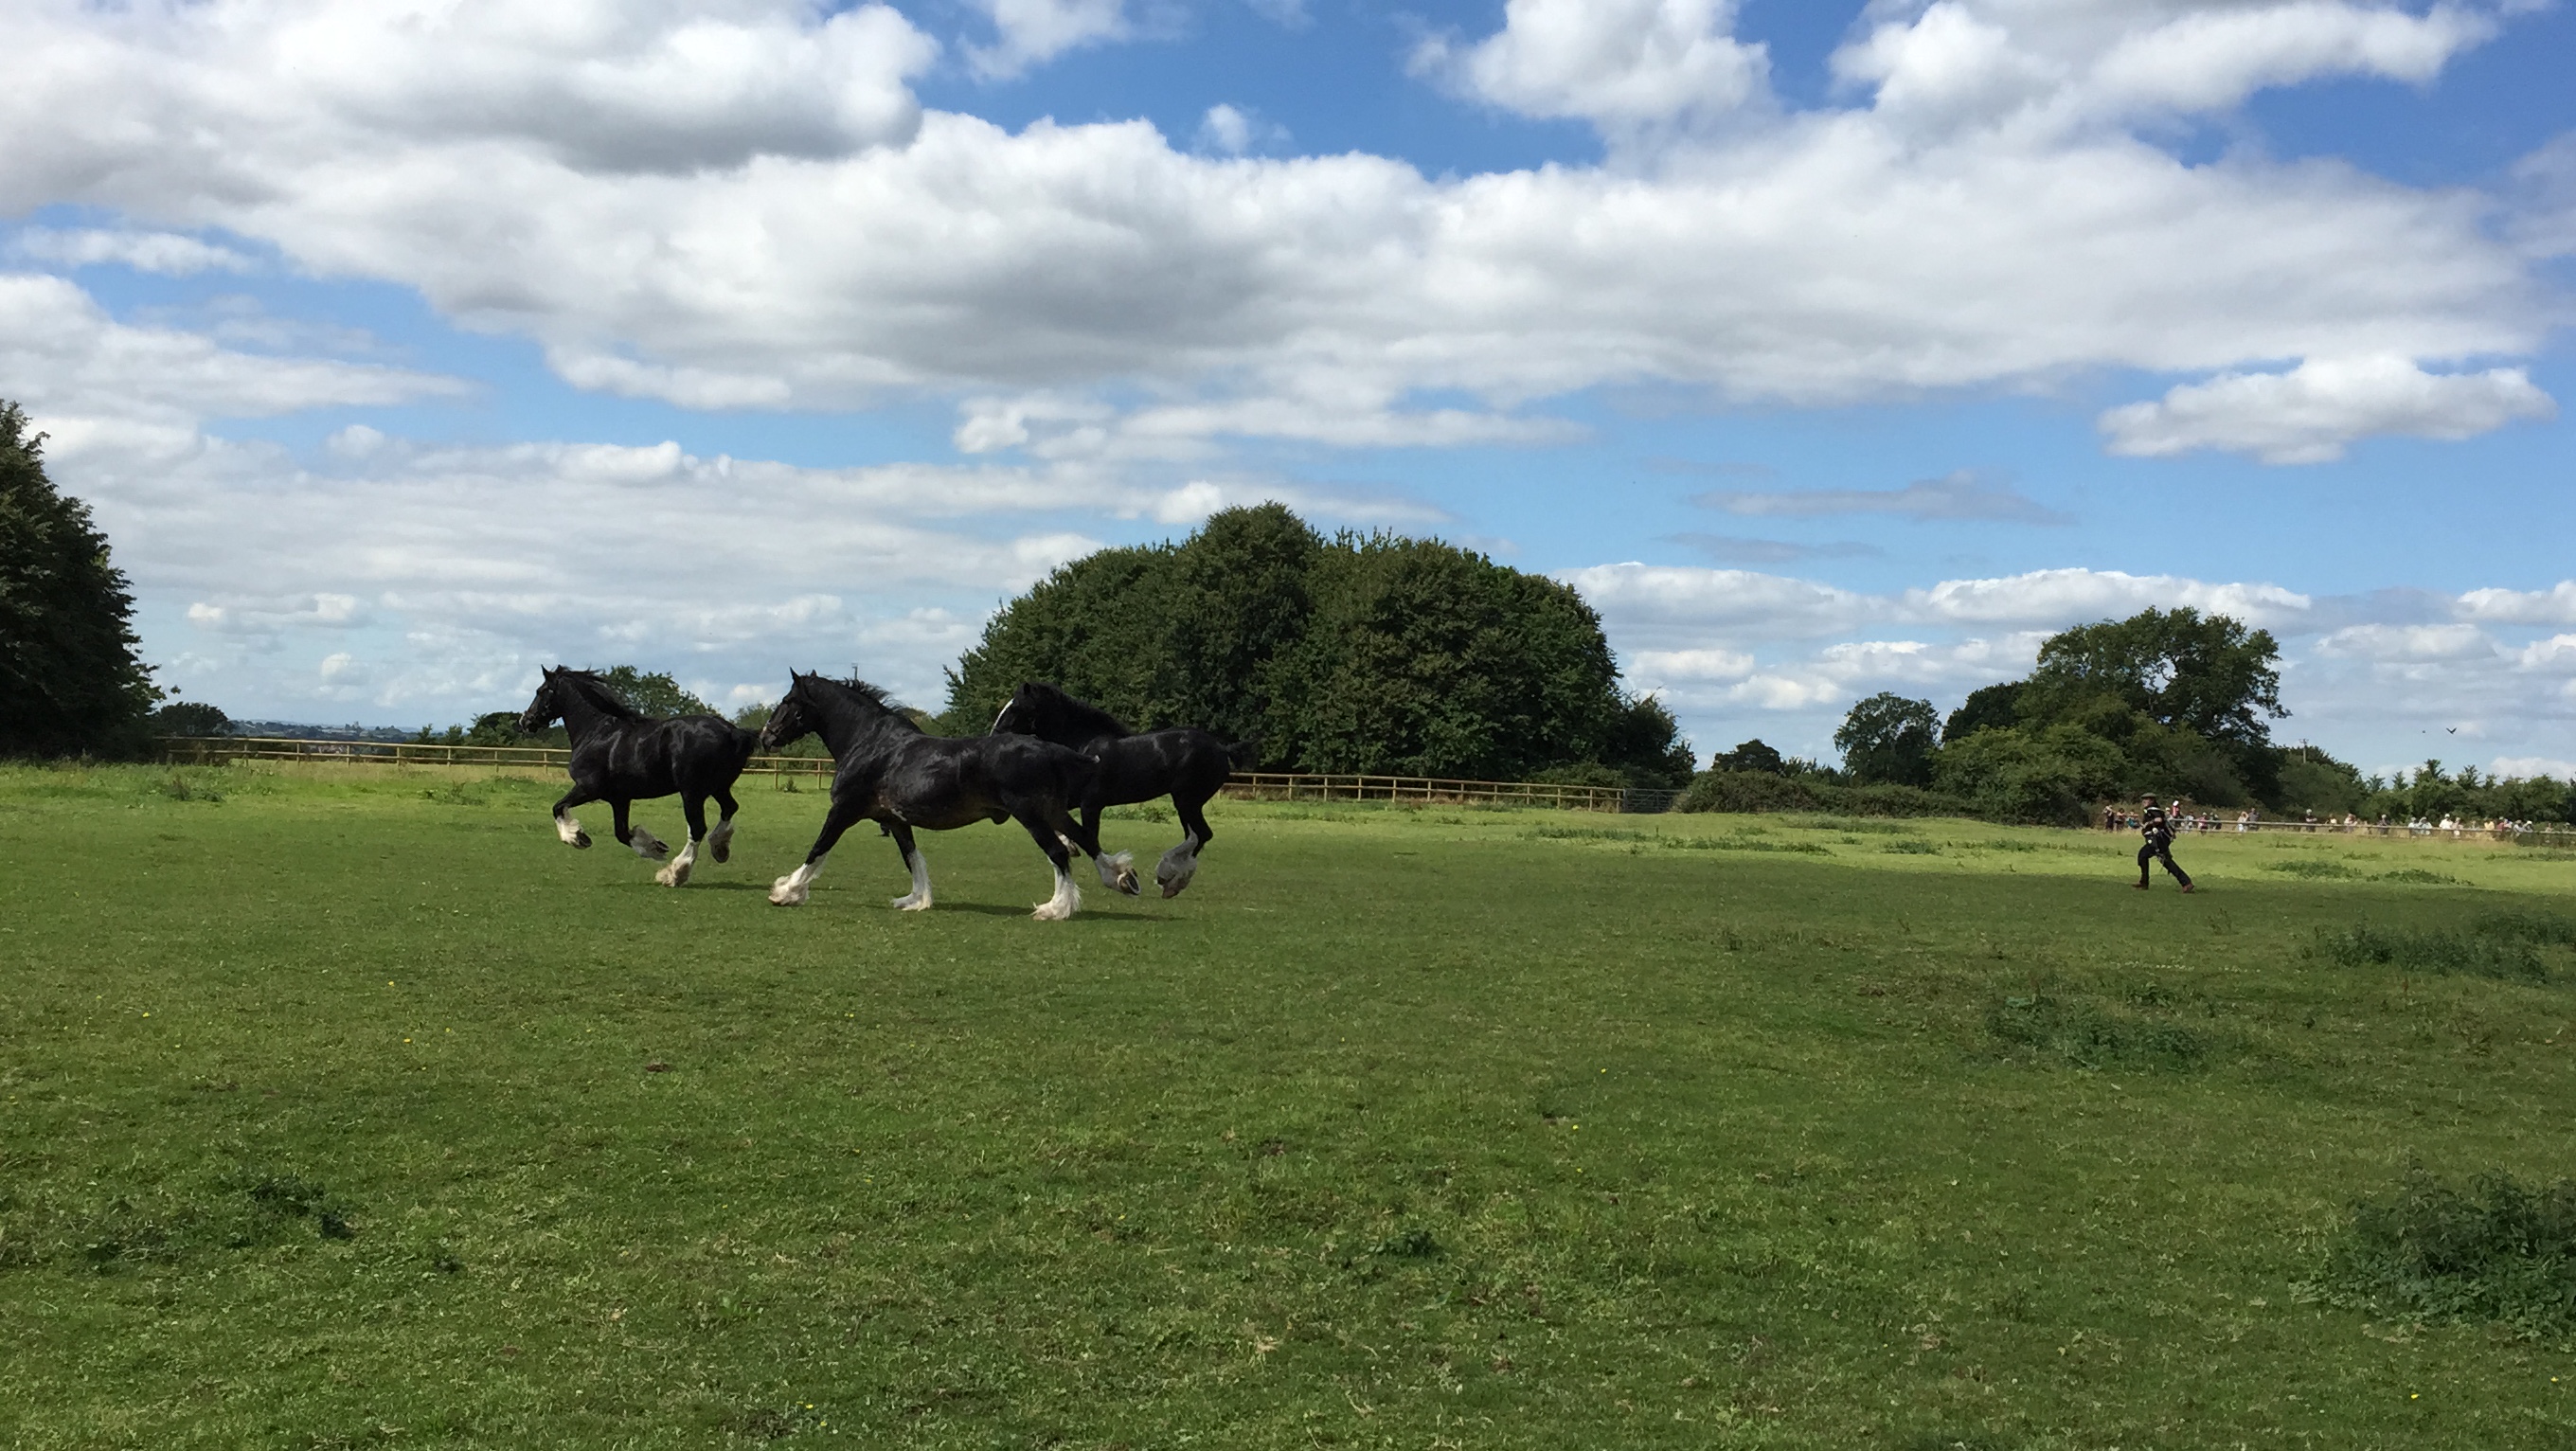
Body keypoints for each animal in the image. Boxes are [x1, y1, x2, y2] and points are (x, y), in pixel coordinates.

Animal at [516, 666, 758, 887]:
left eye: (541, 691)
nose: (525, 721)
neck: (596, 732)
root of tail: (734, 732)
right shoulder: (619, 799)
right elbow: (622, 833)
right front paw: (656, 847)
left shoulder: (588, 788)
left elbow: (557, 807)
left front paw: (577, 838)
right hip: (718, 788)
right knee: (729, 808)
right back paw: (719, 848)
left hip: (692, 793)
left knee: (698, 828)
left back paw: (675, 873)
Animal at [757, 672, 1114, 921]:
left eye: (788, 700)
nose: (765, 736)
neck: (870, 743)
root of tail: (1048, 748)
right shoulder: (893, 820)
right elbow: (912, 857)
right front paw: (916, 900)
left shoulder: (843, 810)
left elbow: (818, 849)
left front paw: (786, 892)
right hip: (1052, 811)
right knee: (1086, 840)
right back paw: (1119, 877)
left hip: (1032, 815)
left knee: (1059, 853)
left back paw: (1056, 908)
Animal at [991, 681, 1249, 898]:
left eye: (1017, 708)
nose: (994, 736)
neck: (1084, 746)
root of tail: (1222, 749)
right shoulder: (1071, 798)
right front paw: (1069, 845)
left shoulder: (1091, 804)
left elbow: (1089, 837)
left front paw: (1121, 878)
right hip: (1186, 803)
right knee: (1195, 836)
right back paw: (1170, 881)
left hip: (1187, 801)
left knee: (1201, 835)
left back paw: (1170, 878)